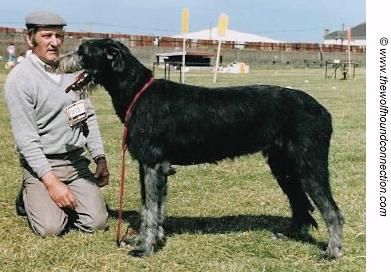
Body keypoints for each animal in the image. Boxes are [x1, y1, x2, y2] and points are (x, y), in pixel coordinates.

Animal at [56, 37, 344, 258]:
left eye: (82, 51)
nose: (57, 62)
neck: (138, 91)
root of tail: (324, 111)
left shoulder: (153, 164)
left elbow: (150, 208)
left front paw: (145, 248)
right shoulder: (153, 167)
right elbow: (153, 207)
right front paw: (150, 238)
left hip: (309, 165)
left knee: (331, 210)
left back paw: (332, 251)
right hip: (283, 165)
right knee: (300, 203)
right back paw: (291, 235)